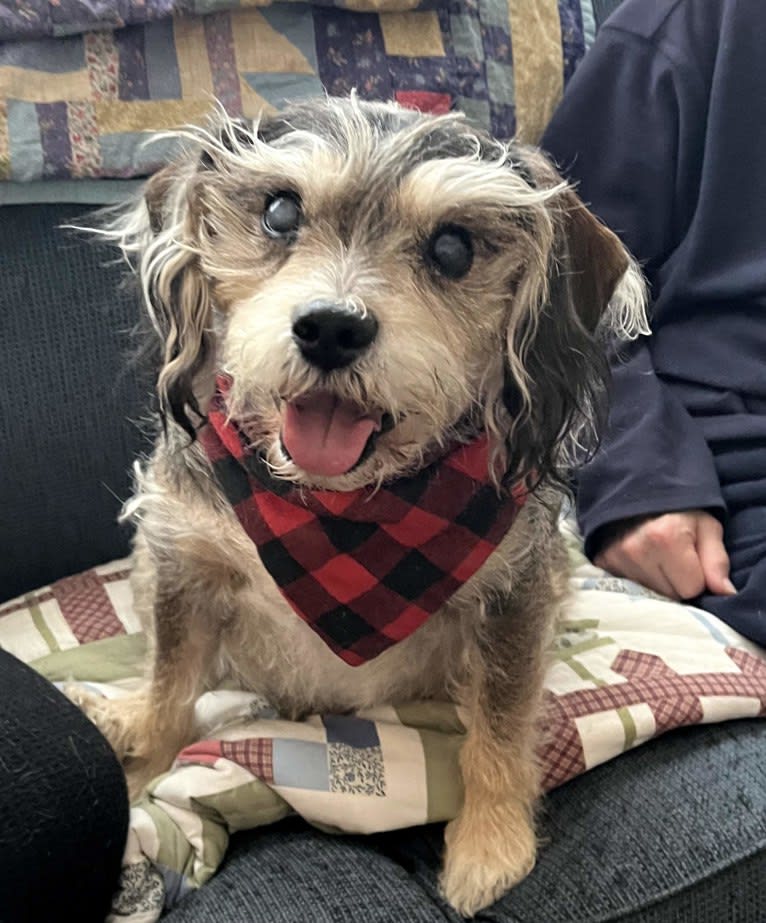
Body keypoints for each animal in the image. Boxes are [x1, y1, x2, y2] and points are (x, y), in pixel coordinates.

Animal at [76, 97, 648, 912]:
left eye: (452, 246)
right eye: (280, 211)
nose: (331, 327)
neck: (340, 513)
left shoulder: (518, 593)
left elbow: (502, 724)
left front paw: (491, 841)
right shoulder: (183, 563)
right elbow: (169, 685)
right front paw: (140, 774)